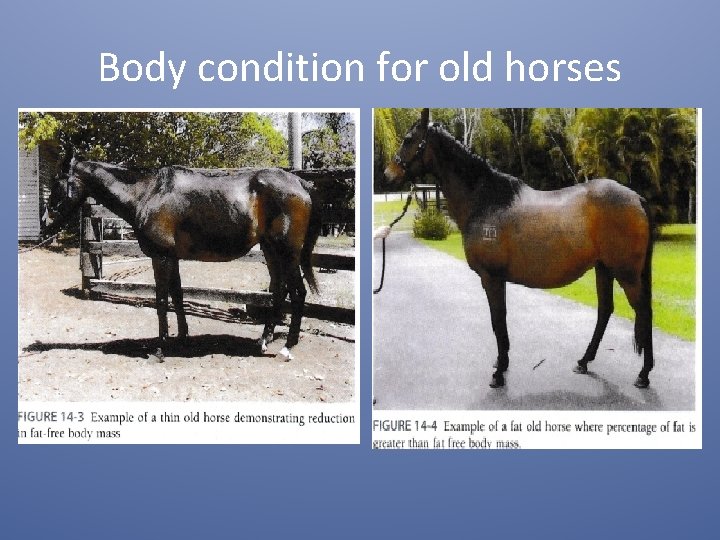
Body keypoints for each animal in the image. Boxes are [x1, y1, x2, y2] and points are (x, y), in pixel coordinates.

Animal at [46, 159, 322, 362]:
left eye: (57, 184)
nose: (46, 223)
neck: (147, 193)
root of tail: (300, 182)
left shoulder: (161, 257)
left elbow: (161, 300)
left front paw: (160, 348)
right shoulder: (172, 258)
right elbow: (177, 295)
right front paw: (182, 338)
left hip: (287, 252)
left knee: (298, 292)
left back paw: (287, 347)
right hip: (270, 250)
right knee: (279, 291)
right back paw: (264, 340)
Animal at [384, 109, 654, 389]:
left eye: (408, 139)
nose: (387, 174)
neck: (485, 200)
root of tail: (636, 198)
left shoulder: (492, 278)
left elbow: (498, 321)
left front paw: (499, 372)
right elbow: (499, 322)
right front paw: (500, 364)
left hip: (626, 273)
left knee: (644, 312)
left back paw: (643, 374)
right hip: (604, 268)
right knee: (605, 311)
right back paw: (583, 361)